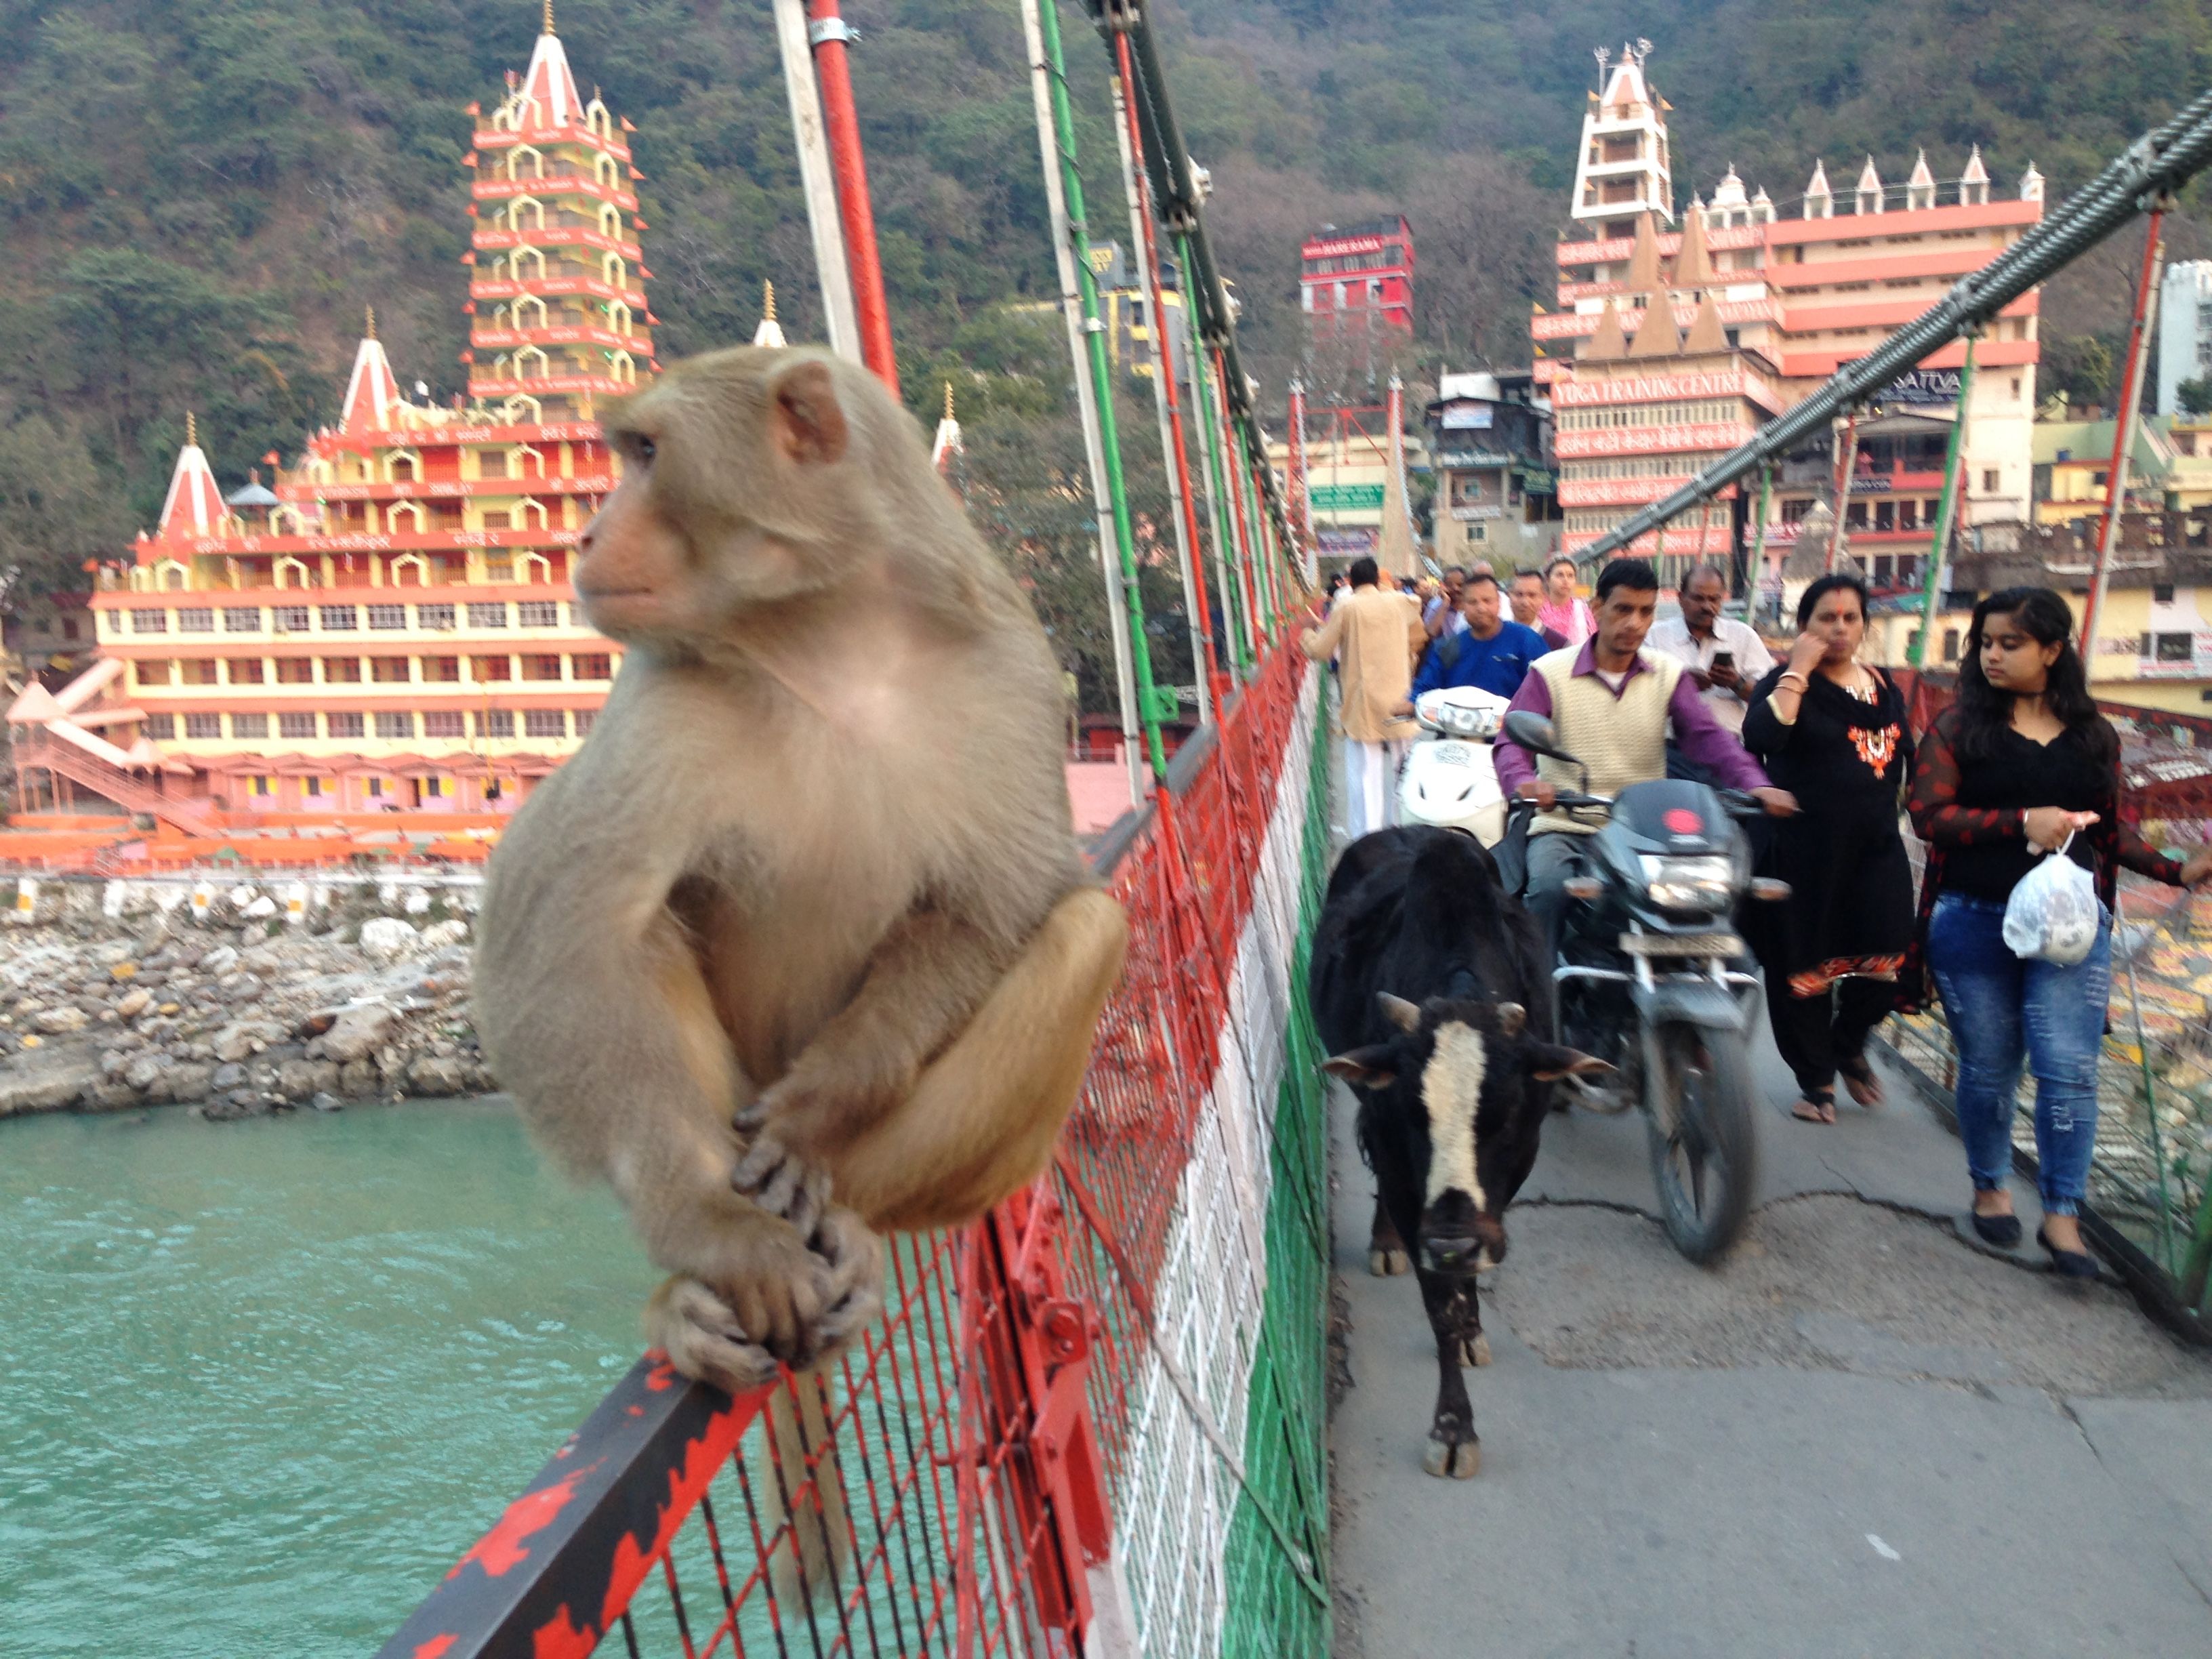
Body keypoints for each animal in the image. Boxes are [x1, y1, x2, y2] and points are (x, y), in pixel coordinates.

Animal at [466, 345, 1124, 1406]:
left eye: (648, 453)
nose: (586, 532)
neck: (827, 637)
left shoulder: (1013, 678)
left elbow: (999, 902)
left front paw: (818, 1110)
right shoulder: (661, 700)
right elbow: (564, 933)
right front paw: (713, 1230)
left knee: (1087, 933)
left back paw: (846, 1217)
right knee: (638, 931)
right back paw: (696, 1284)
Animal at [1300, 827, 1601, 1477]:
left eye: (1506, 1112)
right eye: (1413, 1114)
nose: (1452, 1242)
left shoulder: (1509, 1177)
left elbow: (1466, 1284)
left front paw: (1470, 1329)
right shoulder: (1400, 1161)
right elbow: (1440, 1303)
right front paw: (1453, 1429)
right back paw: (1387, 1242)